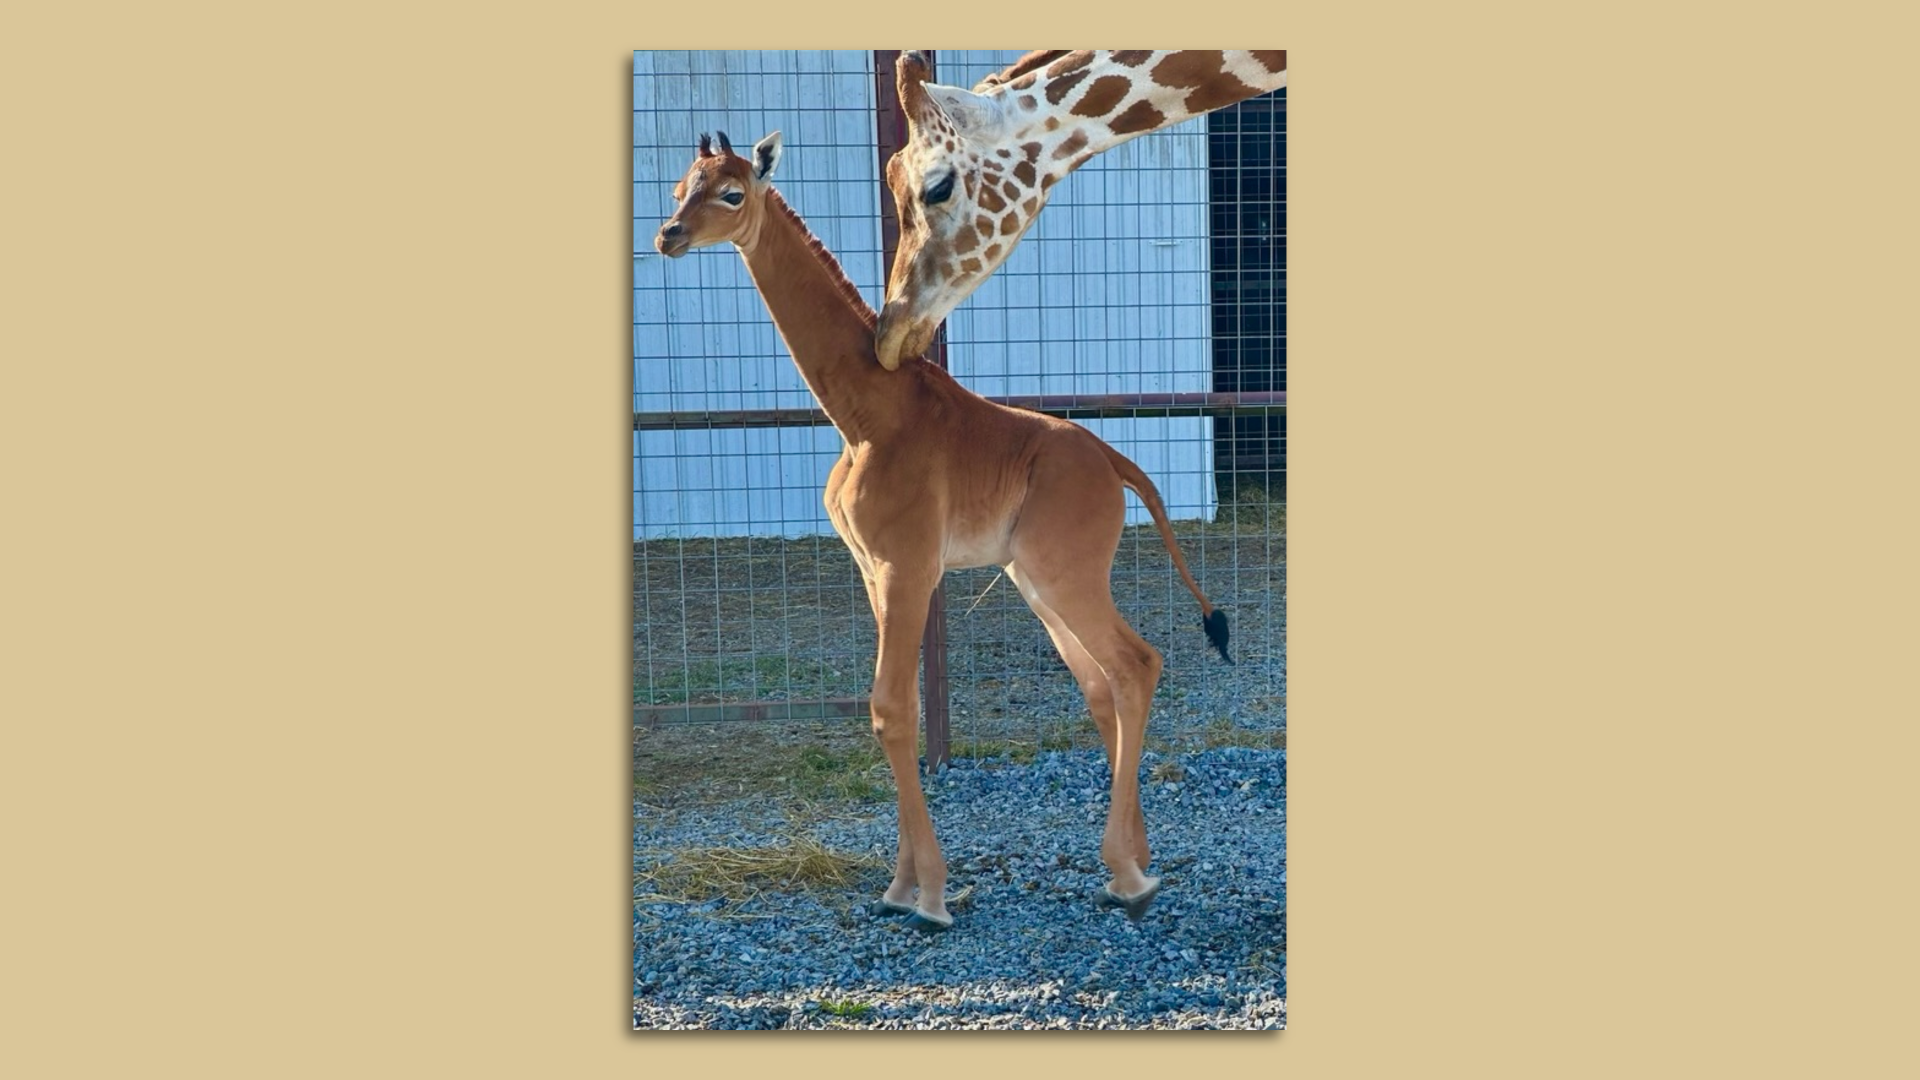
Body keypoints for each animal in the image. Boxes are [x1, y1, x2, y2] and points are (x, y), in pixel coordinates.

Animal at [653, 130, 1232, 931]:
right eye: (680, 186)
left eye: (732, 193)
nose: (668, 236)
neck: (864, 414)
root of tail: (1116, 462)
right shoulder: (873, 570)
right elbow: (896, 711)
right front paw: (901, 886)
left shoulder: (909, 566)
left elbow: (891, 709)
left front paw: (926, 894)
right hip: (1035, 580)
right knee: (1101, 681)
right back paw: (1136, 862)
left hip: (1065, 572)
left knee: (1135, 664)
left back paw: (1127, 875)